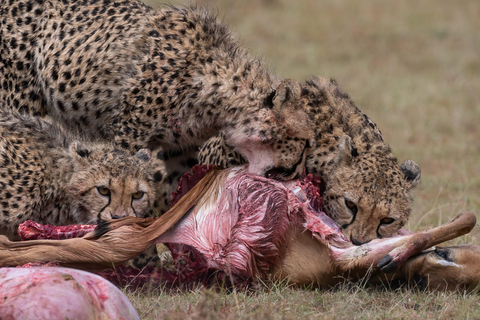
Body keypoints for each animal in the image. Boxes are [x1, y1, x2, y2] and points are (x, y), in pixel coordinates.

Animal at [0, 0, 314, 216]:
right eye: (303, 141)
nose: (298, 175)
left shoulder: (182, 149)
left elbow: (181, 194)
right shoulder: (128, 135)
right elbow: (125, 184)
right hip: (19, 100)